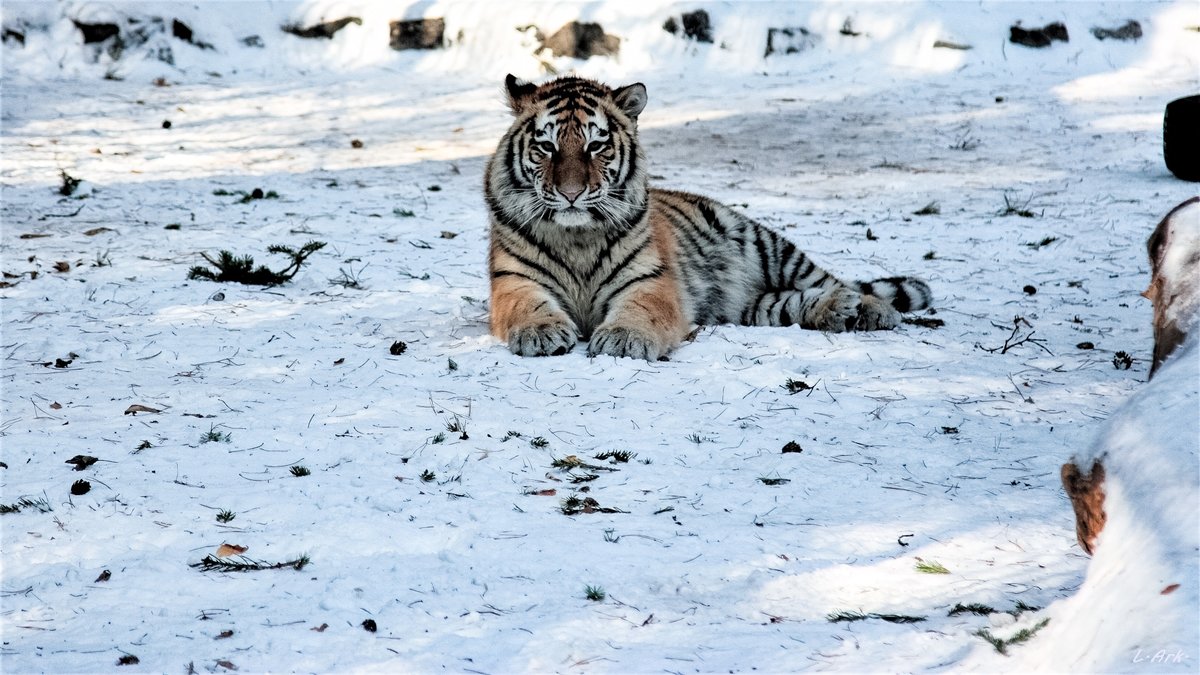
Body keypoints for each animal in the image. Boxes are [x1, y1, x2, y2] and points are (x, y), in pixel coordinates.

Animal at [482, 74, 931, 360]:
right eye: (547, 146)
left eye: (596, 146)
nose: (571, 193)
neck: (576, 237)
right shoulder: (514, 280)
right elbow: (527, 305)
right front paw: (542, 332)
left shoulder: (650, 281)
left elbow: (640, 310)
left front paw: (623, 339)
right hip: (748, 307)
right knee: (788, 303)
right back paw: (838, 311)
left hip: (769, 248)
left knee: (833, 281)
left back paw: (872, 309)